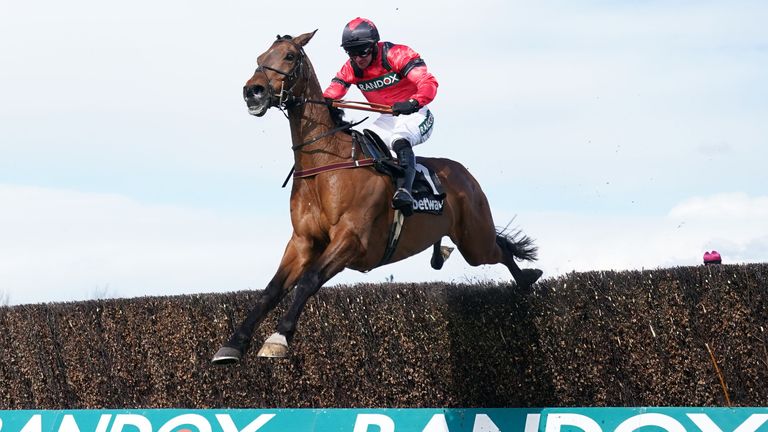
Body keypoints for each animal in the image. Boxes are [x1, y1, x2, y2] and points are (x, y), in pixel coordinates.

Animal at [213, 29, 544, 364]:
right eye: (260, 57)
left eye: (290, 56)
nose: (252, 92)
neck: (325, 164)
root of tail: (466, 175)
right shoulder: (303, 241)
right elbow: (272, 289)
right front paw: (233, 344)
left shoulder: (351, 239)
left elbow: (308, 281)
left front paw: (279, 337)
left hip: (475, 241)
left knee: (499, 248)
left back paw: (527, 279)